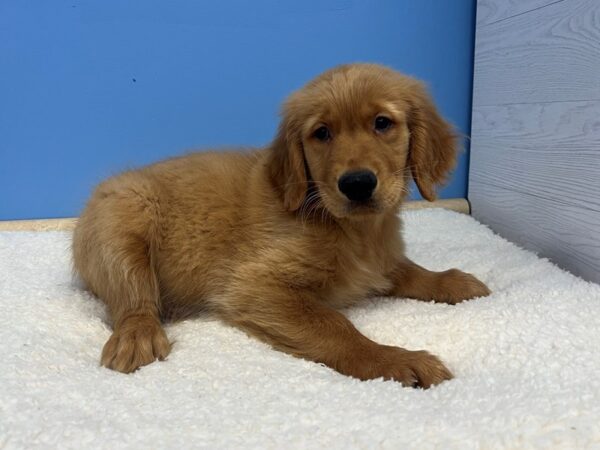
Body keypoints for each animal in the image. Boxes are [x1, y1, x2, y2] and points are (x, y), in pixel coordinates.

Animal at [72, 62, 490, 386]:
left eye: (383, 123)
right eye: (322, 133)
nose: (357, 184)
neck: (353, 229)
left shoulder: (380, 259)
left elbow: (408, 271)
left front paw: (451, 281)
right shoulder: (254, 285)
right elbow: (336, 326)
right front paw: (396, 360)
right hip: (122, 227)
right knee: (135, 300)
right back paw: (137, 334)